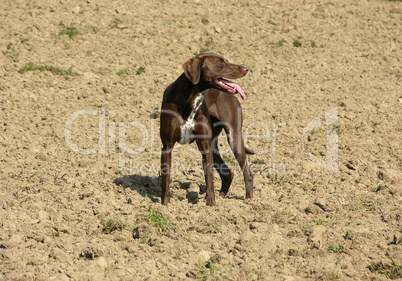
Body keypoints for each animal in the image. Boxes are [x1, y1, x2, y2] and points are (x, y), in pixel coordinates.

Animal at [160, 53, 254, 206]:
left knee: (247, 173)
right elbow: (165, 179)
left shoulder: (205, 147)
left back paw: (249, 201)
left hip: (233, 139)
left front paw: (210, 205)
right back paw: (222, 197)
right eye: (220, 64)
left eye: (227, 60)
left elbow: (209, 179)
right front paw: (165, 205)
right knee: (227, 173)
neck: (190, 100)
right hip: (213, 146)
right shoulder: (167, 146)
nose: (246, 69)